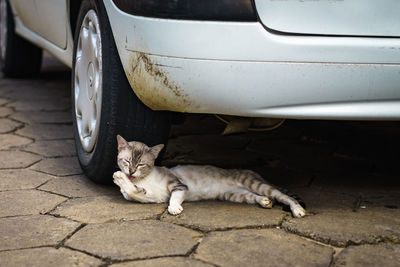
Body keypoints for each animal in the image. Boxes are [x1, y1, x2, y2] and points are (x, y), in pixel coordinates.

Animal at [112, 135, 306, 219]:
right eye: (127, 161)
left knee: (284, 196)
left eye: (141, 165)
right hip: (236, 195)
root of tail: (252, 172)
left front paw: (174, 208)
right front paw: (120, 178)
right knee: (255, 196)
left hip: (254, 183)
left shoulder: (179, 185)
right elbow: (133, 192)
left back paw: (297, 210)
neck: (145, 180)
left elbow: (175, 197)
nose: (130, 172)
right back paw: (265, 201)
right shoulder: (149, 197)